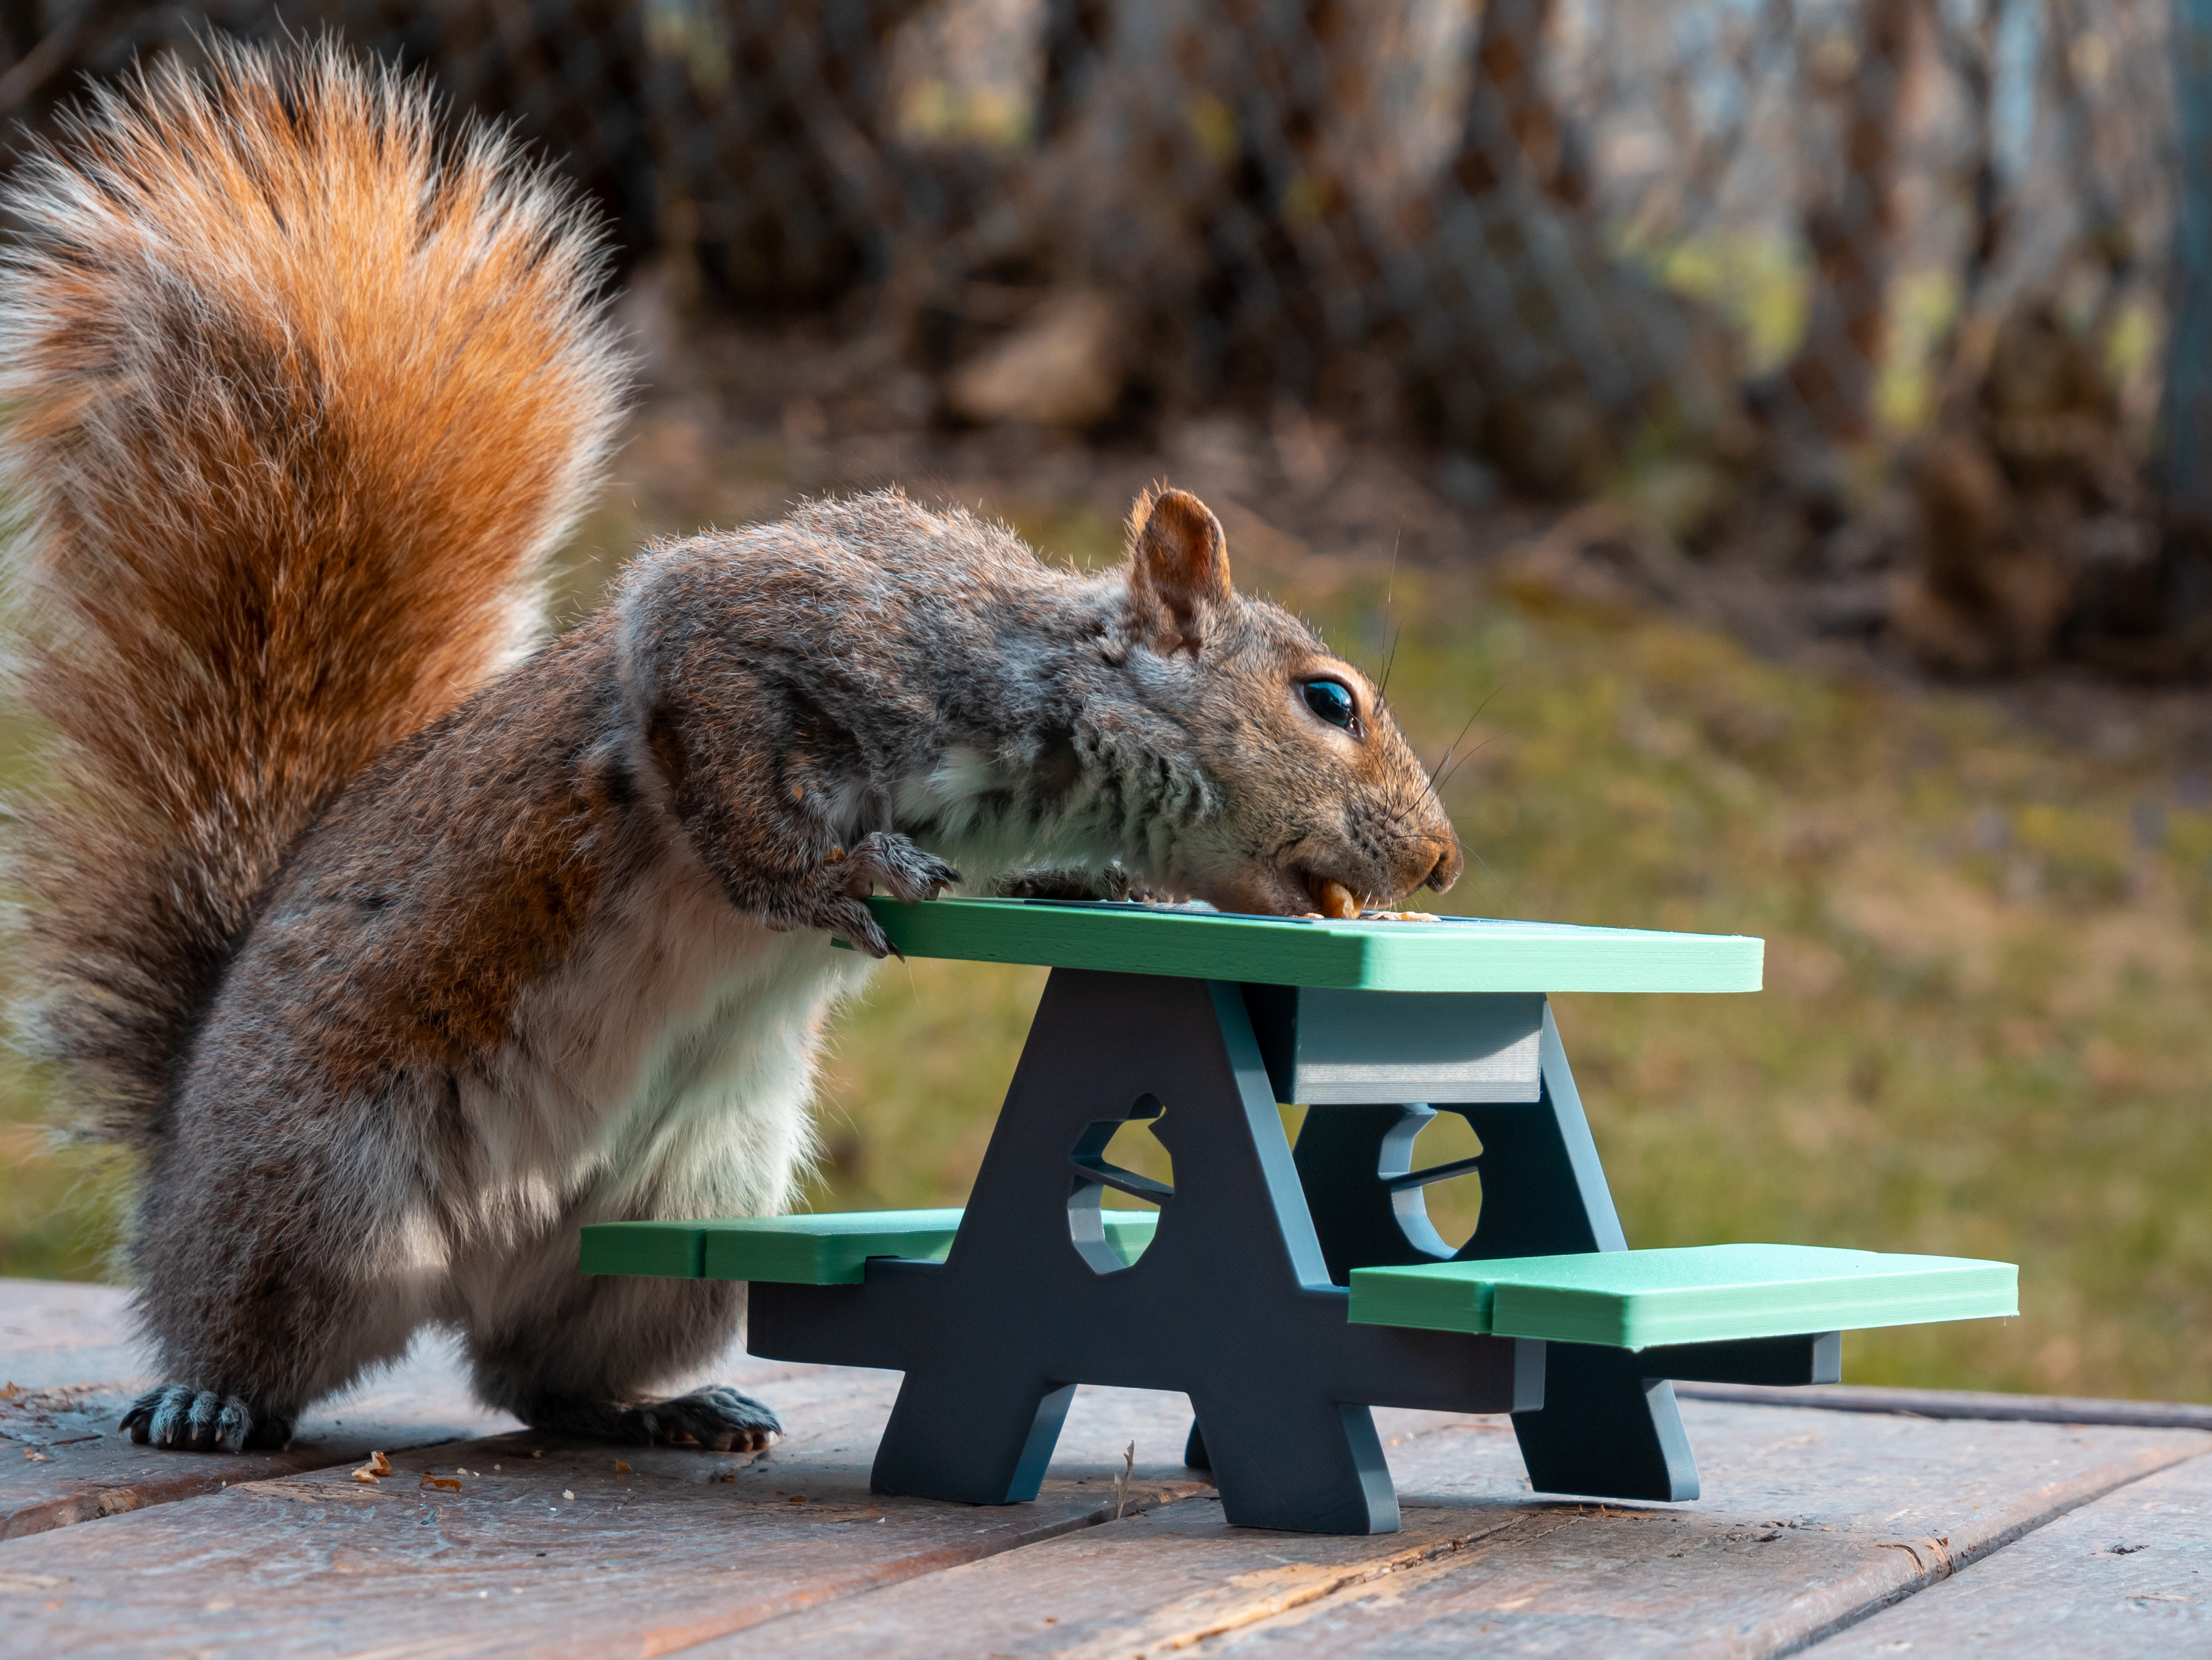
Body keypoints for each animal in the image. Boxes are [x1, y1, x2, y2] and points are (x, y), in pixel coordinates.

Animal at [0, 42, 1462, 1454]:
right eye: (1328, 701)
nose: (1445, 861)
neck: (1048, 724)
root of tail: (183, 1130)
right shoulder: (821, 635)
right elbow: (707, 712)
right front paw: (823, 879)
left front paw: (1113, 891)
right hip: (311, 1196)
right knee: (258, 1322)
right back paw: (208, 1398)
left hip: (674, 1220)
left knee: (537, 1373)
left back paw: (660, 1408)